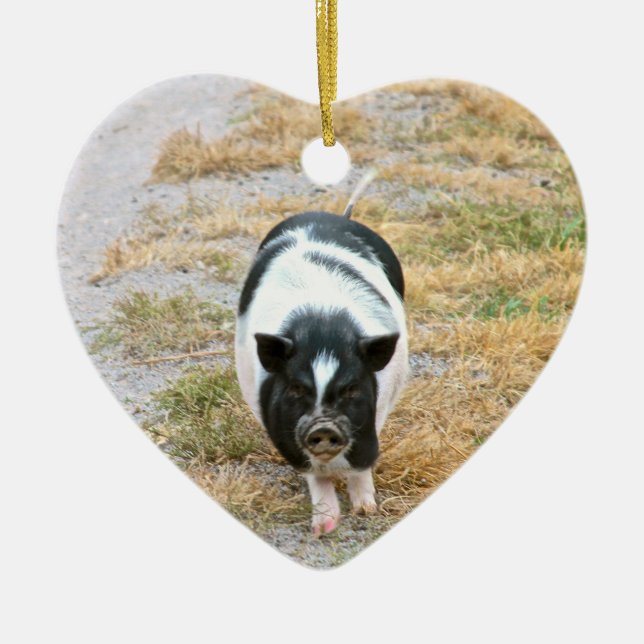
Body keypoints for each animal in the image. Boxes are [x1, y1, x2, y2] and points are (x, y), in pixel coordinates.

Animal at [235, 187, 408, 536]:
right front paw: (324, 527)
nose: (323, 425)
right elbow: (314, 473)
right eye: (296, 388)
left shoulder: (377, 407)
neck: (323, 329)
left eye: (351, 388)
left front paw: (366, 510)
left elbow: (363, 459)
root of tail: (333, 215)